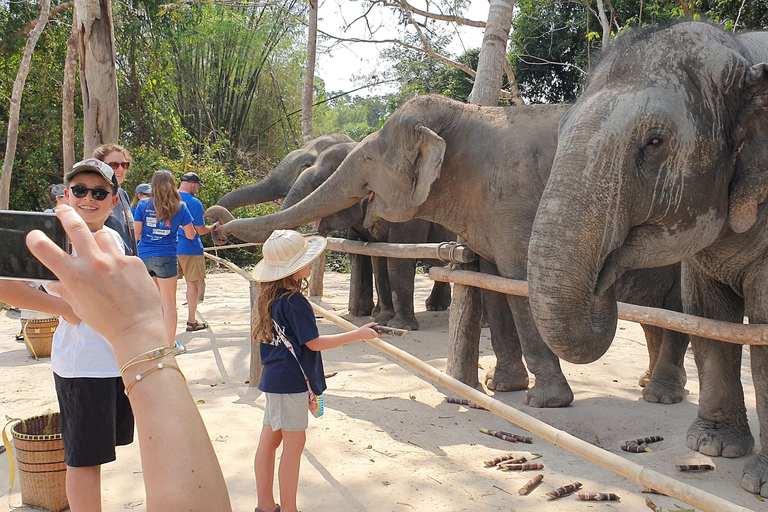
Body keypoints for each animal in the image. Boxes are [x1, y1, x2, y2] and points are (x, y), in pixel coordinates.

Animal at [208, 94, 688, 406]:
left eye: (368, 160)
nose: (214, 223)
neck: (468, 114)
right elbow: (490, 281)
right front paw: (501, 387)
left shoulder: (513, 205)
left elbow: (517, 283)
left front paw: (544, 402)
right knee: (661, 312)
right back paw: (655, 386)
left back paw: (661, 396)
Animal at [532, 21, 768, 496]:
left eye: (655, 142)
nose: (602, 278)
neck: (741, 51)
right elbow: (706, 317)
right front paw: (713, 448)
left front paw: (756, 481)